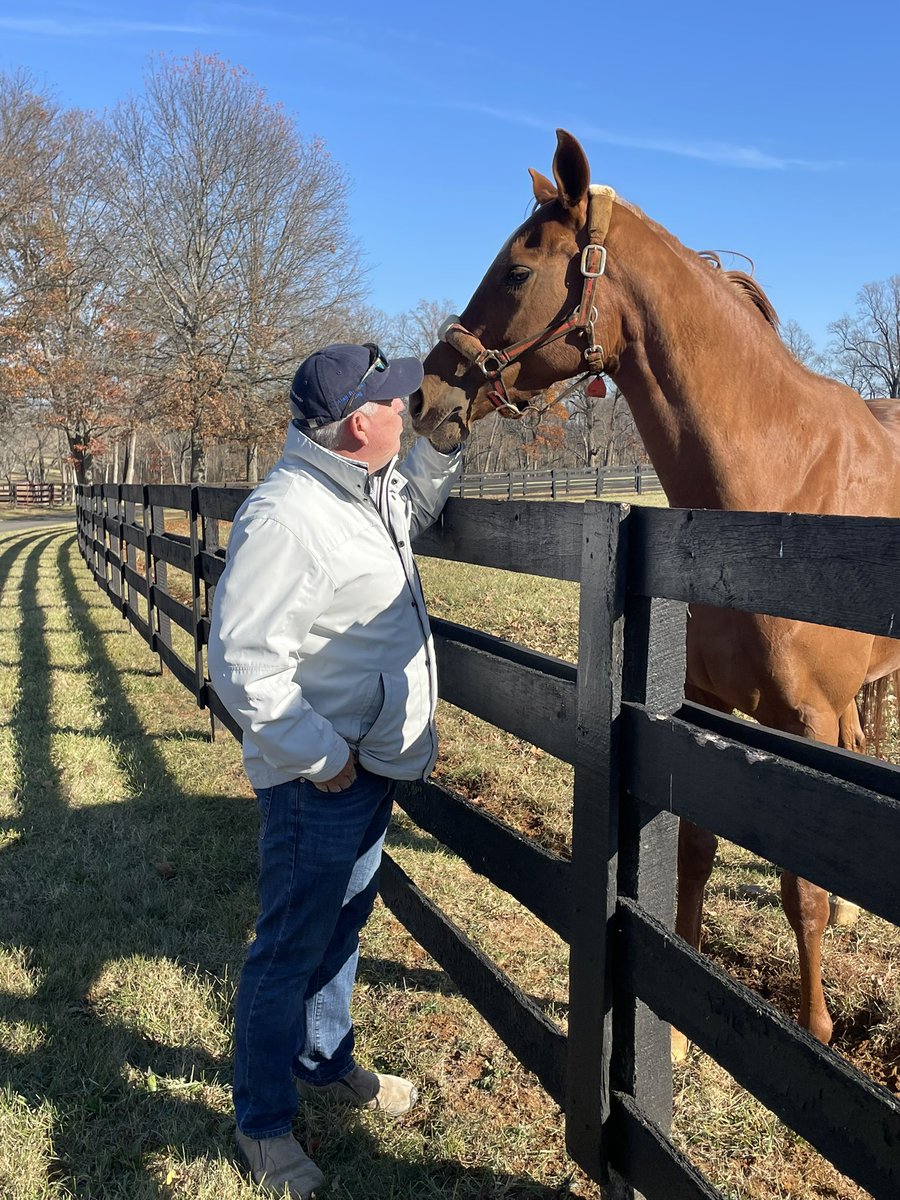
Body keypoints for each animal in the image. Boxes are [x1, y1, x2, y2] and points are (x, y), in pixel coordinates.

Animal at [410, 129, 900, 1052]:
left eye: (517, 272)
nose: (427, 392)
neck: (778, 493)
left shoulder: (805, 718)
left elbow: (803, 892)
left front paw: (815, 1026)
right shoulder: (698, 710)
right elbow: (695, 855)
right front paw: (671, 1033)